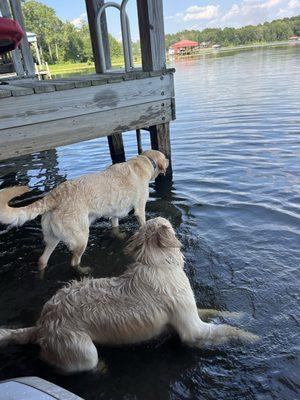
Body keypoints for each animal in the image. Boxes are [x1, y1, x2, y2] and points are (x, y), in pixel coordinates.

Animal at [0, 150, 169, 272]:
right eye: (166, 157)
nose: (168, 160)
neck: (145, 161)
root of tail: (53, 195)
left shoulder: (113, 214)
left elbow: (115, 226)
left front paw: (119, 235)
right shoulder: (140, 209)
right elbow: (143, 223)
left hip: (52, 238)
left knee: (42, 260)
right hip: (81, 238)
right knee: (74, 261)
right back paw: (84, 270)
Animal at [0, 217, 258, 374]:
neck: (156, 264)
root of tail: (42, 325)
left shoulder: (189, 310)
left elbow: (216, 312)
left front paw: (241, 315)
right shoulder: (193, 331)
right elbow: (226, 330)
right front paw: (252, 337)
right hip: (83, 350)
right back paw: (103, 367)